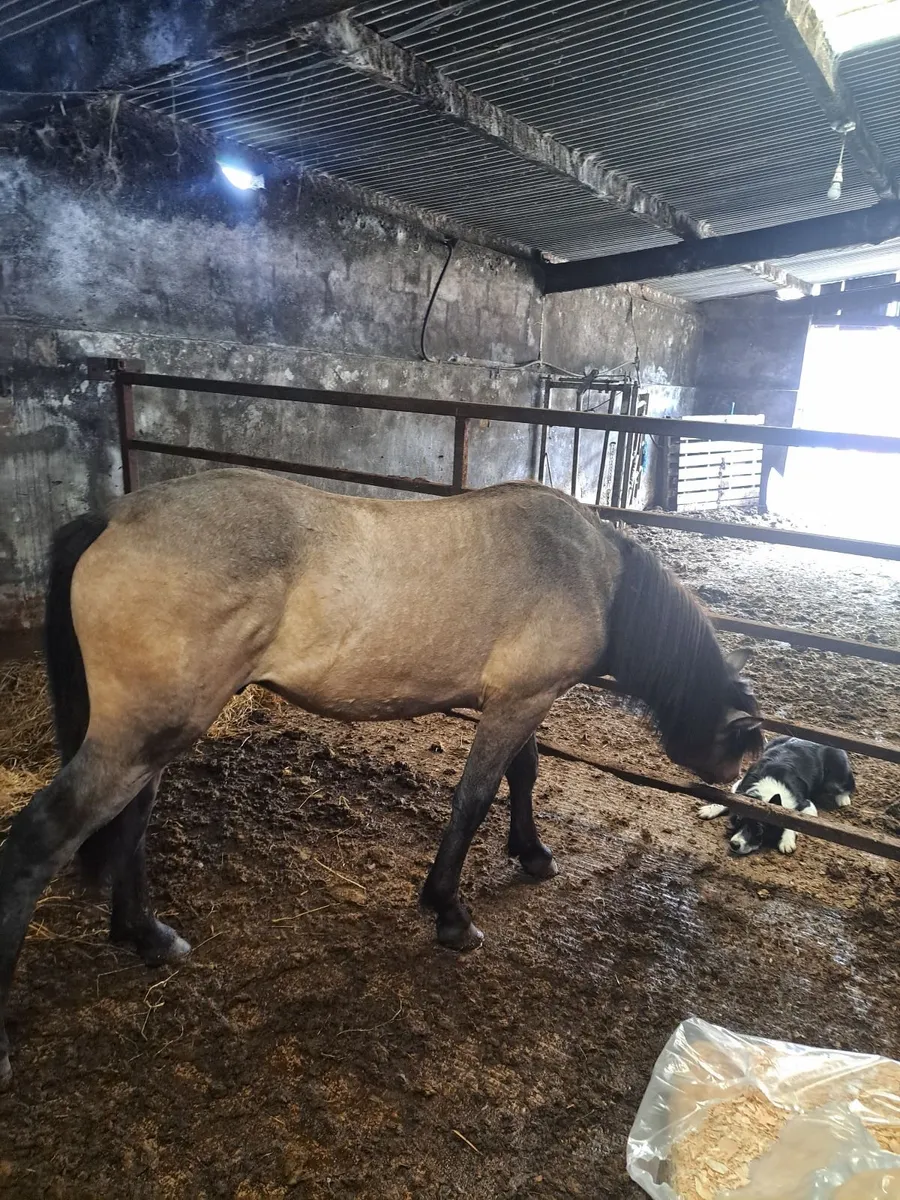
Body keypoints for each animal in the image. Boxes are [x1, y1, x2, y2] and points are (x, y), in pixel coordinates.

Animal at [0, 471, 763, 1085]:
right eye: (744, 751)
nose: (731, 797)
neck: (594, 573)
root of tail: (113, 518)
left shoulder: (522, 699)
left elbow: (524, 774)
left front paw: (533, 854)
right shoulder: (519, 700)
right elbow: (475, 797)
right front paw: (450, 913)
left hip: (152, 734)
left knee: (128, 820)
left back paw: (148, 937)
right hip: (142, 733)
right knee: (42, 837)